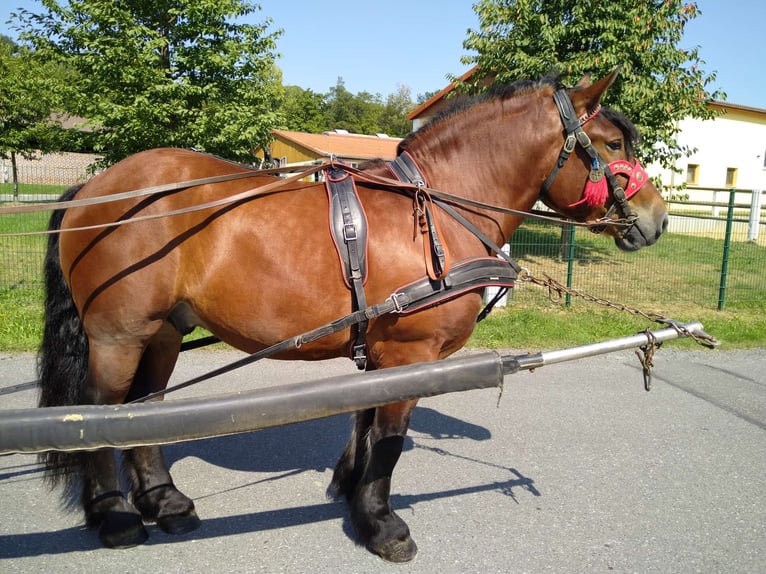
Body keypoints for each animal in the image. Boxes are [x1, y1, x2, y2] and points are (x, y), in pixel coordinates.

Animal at [39, 71, 668, 564]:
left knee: (142, 410)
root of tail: (94, 187)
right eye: (613, 142)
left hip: (163, 332)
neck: (437, 208)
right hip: (119, 335)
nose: (657, 220)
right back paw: (116, 517)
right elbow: (388, 439)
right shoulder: (411, 354)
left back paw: (164, 502)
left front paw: (352, 493)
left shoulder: (384, 352)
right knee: (97, 413)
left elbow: (365, 423)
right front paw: (382, 525)